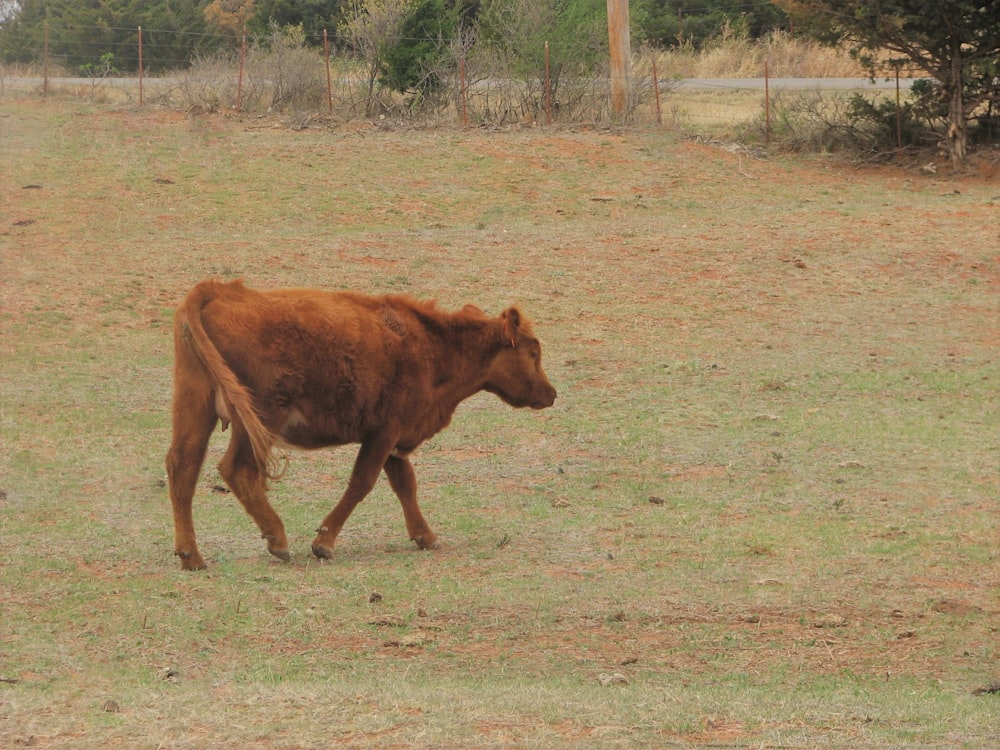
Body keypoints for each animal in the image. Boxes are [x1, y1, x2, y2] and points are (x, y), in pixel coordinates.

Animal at [164, 280, 556, 572]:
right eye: (534, 353)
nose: (551, 394)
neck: (433, 344)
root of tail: (221, 291)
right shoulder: (384, 432)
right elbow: (362, 482)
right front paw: (324, 542)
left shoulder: (395, 440)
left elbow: (405, 483)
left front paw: (425, 536)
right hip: (260, 418)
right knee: (238, 469)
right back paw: (277, 539)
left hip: (195, 406)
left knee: (182, 466)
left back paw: (191, 556)